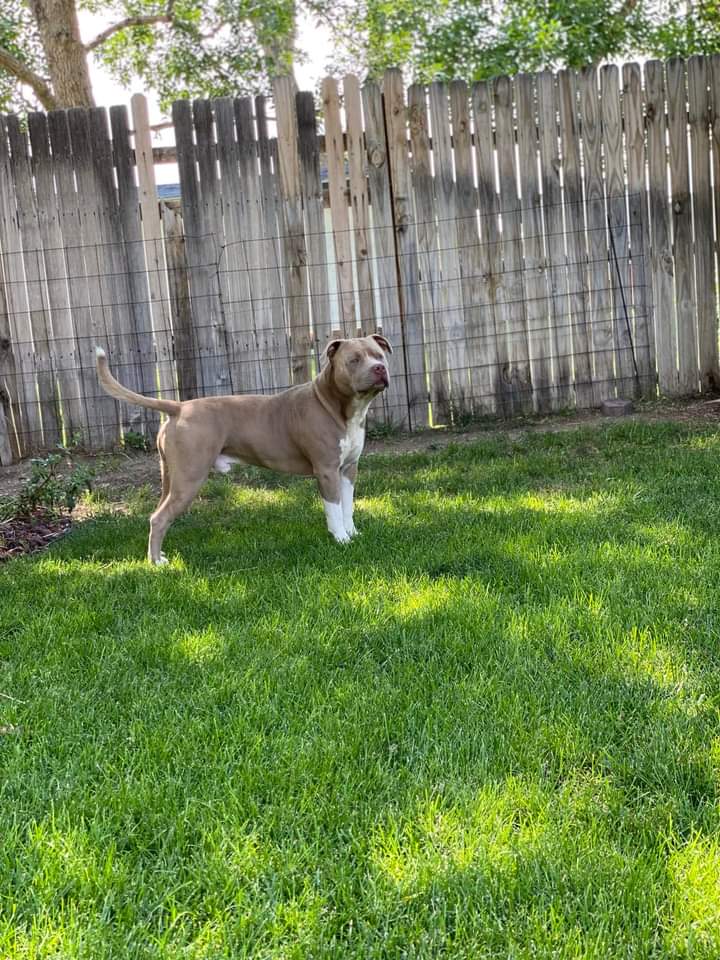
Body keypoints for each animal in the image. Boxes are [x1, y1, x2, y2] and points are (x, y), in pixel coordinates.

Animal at [95, 335, 392, 563]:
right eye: (354, 360)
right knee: (159, 518)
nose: (379, 368)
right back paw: (156, 563)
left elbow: (347, 505)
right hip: (189, 479)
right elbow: (334, 509)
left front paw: (352, 533)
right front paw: (340, 539)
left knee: (157, 514)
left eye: (378, 355)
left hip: (171, 478)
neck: (339, 407)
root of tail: (179, 407)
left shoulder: (348, 470)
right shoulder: (327, 471)